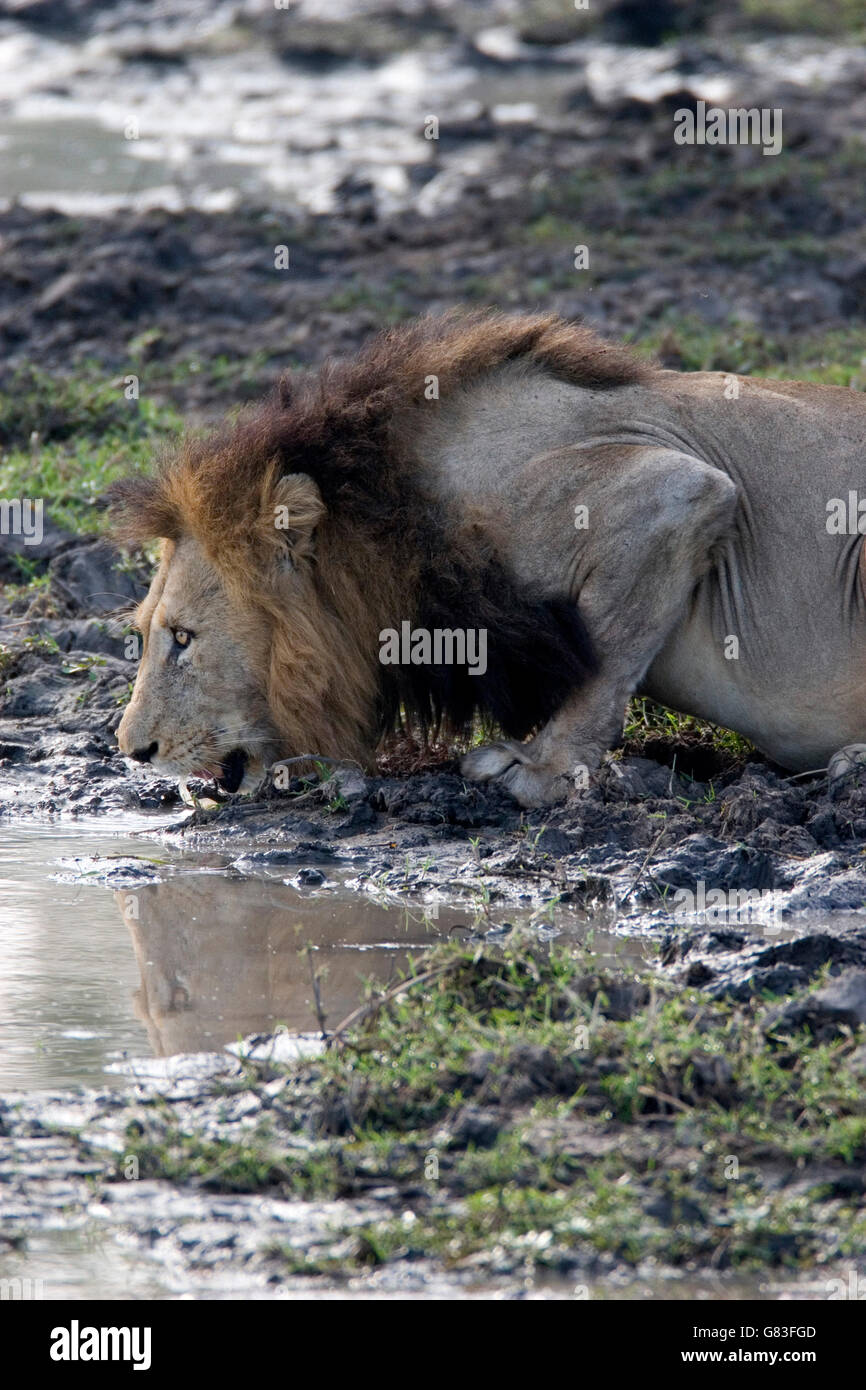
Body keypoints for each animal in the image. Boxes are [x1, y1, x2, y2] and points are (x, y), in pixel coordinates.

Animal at [111, 304, 866, 806]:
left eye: (184, 638)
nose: (133, 752)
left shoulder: (673, 494)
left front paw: (540, 769)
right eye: (146, 634)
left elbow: (604, 657)